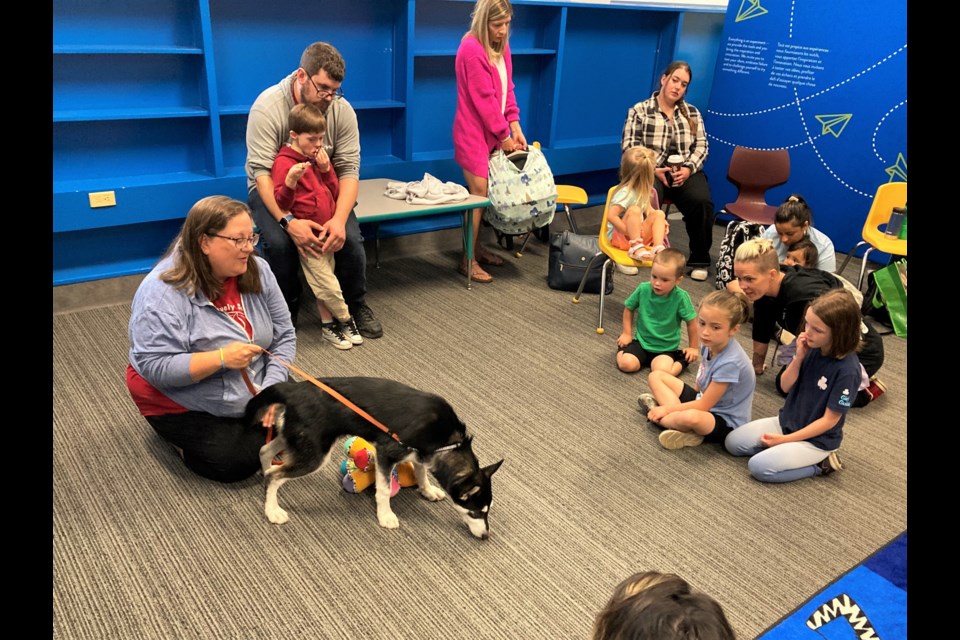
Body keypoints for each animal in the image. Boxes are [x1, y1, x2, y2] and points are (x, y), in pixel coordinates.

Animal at [246, 378, 502, 536]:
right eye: (476, 512)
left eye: (486, 511)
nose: (486, 536)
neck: (449, 442)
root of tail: (295, 389)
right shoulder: (387, 452)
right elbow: (385, 489)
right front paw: (385, 515)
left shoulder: (419, 453)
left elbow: (421, 471)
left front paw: (428, 490)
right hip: (314, 453)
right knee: (274, 475)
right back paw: (272, 510)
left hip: (297, 438)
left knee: (264, 451)